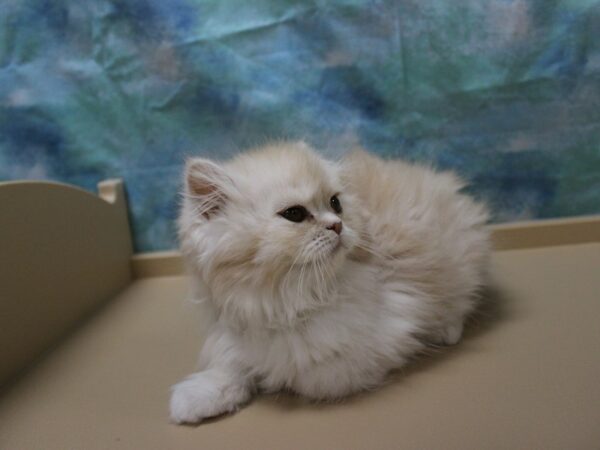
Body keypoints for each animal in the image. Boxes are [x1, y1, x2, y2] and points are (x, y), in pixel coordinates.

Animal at [171, 142, 490, 424]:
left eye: (336, 204)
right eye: (294, 214)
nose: (337, 225)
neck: (285, 302)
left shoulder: (379, 342)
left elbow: (301, 376)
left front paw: (270, 381)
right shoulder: (233, 336)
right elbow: (230, 367)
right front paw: (199, 397)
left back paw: (446, 331)